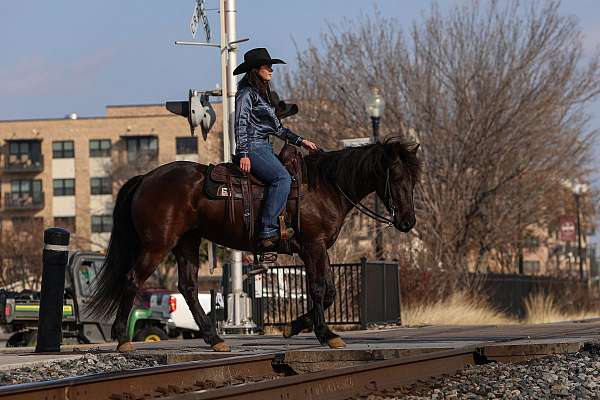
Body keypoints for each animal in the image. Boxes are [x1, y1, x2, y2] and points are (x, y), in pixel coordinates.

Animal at [86, 139, 420, 352]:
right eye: (396, 176)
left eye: (414, 179)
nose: (408, 221)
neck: (324, 185)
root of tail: (145, 177)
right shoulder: (313, 246)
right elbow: (318, 290)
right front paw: (326, 334)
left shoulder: (318, 249)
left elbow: (328, 292)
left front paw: (293, 327)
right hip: (158, 244)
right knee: (132, 280)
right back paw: (122, 339)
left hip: (186, 243)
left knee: (188, 287)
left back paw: (214, 338)